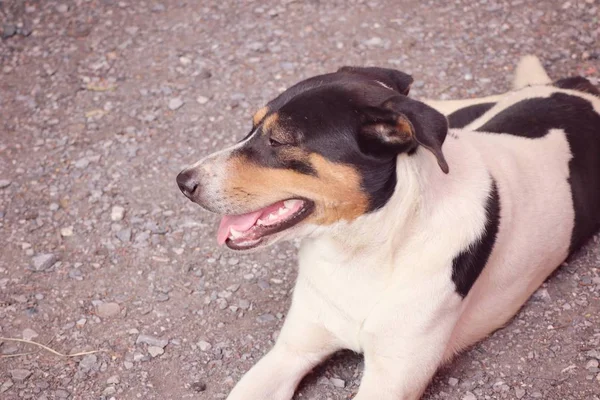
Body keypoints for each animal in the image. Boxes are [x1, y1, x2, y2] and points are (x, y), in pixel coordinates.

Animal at [176, 56, 596, 400]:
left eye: (278, 140)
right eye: (251, 128)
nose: (183, 181)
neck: (363, 250)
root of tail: (578, 88)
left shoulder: (390, 380)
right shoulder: (290, 352)